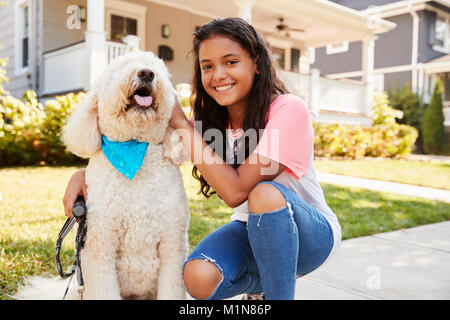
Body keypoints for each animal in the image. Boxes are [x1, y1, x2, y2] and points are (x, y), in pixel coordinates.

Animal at [14, 50, 190, 300]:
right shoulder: (99, 249)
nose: (146, 73)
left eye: (158, 69)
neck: (134, 150)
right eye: (120, 67)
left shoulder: (172, 249)